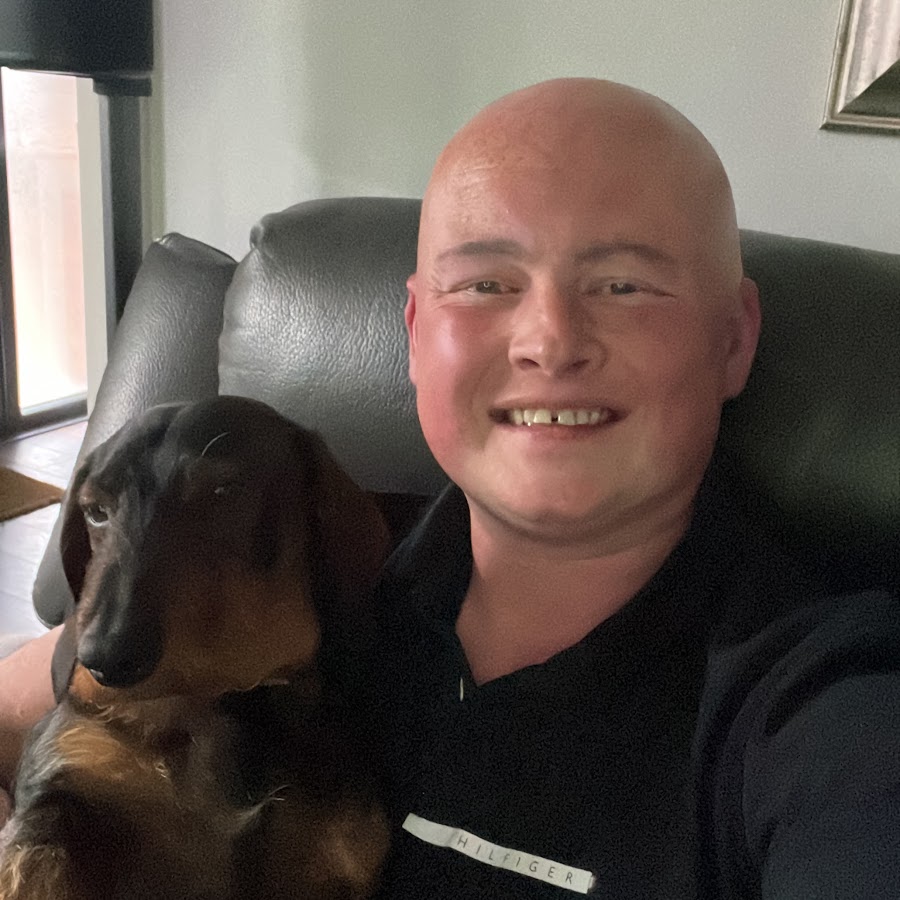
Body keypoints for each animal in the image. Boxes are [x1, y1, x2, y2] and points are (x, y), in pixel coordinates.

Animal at [0, 396, 391, 900]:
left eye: (224, 490)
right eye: (95, 510)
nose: (103, 660)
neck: (214, 704)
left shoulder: (337, 855)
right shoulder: (62, 779)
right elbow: (32, 855)